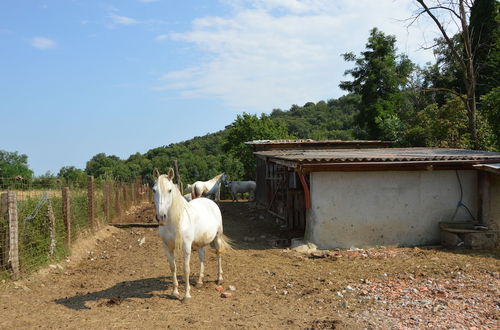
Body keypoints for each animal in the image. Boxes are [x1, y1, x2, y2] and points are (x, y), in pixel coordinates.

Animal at [152, 169, 232, 302]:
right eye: (154, 190)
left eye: (170, 190)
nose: (161, 217)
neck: (175, 221)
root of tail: (210, 202)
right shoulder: (167, 247)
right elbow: (173, 267)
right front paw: (175, 292)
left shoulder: (186, 247)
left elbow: (186, 269)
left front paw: (186, 295)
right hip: (200, 243)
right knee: (202, 257)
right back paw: (199, 281)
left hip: (218, 237)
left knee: (218, 254)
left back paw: (219, 279)